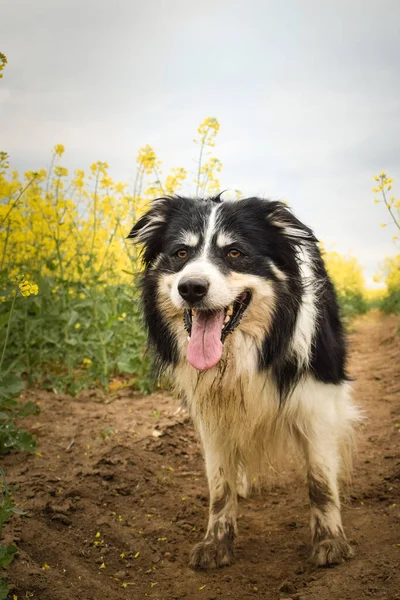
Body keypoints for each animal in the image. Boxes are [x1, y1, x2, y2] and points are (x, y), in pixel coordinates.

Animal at [130, 198, 360, 572]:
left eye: (235, 252)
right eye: (181, 253)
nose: (191, 288)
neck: (242, 354)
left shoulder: (317, 399)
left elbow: (320, 478)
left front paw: (330, 542)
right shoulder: (210, 409)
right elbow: (219, 484)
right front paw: (215, 543)